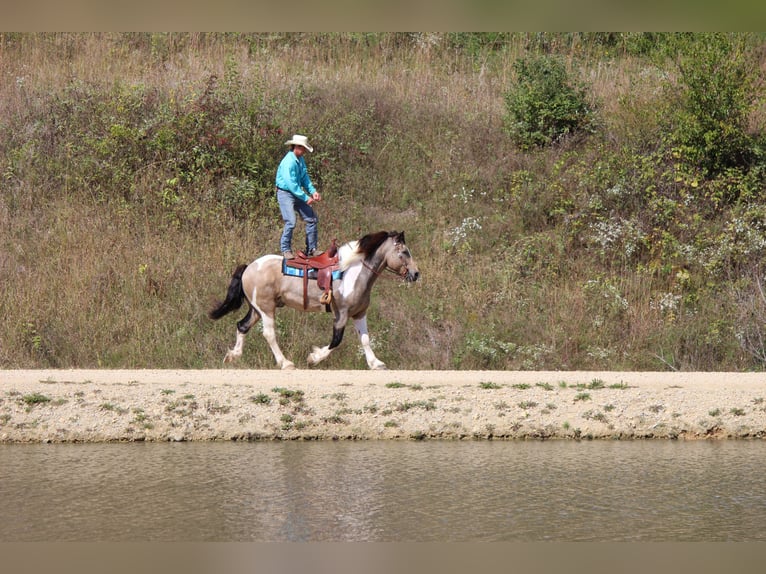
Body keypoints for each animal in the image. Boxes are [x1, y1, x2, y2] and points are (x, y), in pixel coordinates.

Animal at [210, 232, 420, 372]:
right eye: (404, 252)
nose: (416, 273)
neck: (354, 272)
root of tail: (249, 267)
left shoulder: (359, 313)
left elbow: (365, 339)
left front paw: (376, 363)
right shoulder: (341, 314)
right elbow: (336, 341)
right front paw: (314, 358)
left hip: (256, 309)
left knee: (242, 326)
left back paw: (233, 355)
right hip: (266, 309)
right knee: (269, 334)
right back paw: (285, 363)